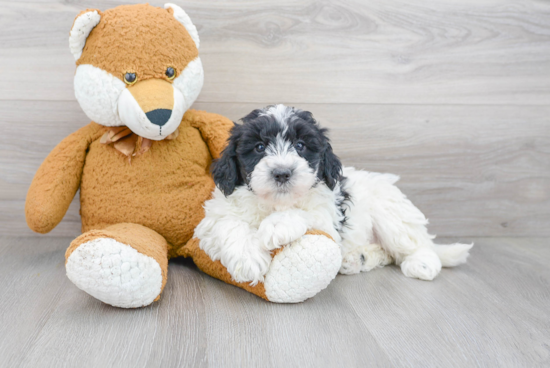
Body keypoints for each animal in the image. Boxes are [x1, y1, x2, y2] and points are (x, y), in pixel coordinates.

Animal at [195, 103, 474, 284]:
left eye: (300, 145)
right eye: (259, 147)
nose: (282, 173)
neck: (275, 203)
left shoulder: (327, 217)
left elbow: (306, 214)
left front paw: (275, 226)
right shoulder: (214, 216)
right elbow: (228, 225)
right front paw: (249, 259)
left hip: (391, 214)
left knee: (416, 245)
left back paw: (422, 264)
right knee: (389, 254)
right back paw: (359, 258)